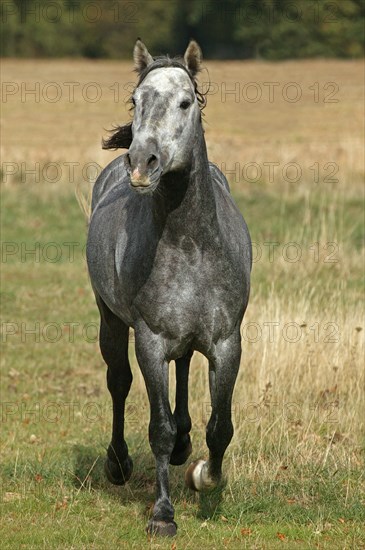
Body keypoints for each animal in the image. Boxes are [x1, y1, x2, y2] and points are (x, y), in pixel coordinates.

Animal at [86, 40, 250, 540]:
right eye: (136, 100)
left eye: (185, 102)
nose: (142, 164)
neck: (190, 244)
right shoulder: (151, 341)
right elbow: (157, 427)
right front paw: (162, 514)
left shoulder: (226, 342)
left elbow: (221, 427)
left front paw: (203, 476)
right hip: (111, 322)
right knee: (119, 382)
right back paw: (119, 463)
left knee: (183, 369)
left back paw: (183, 445)